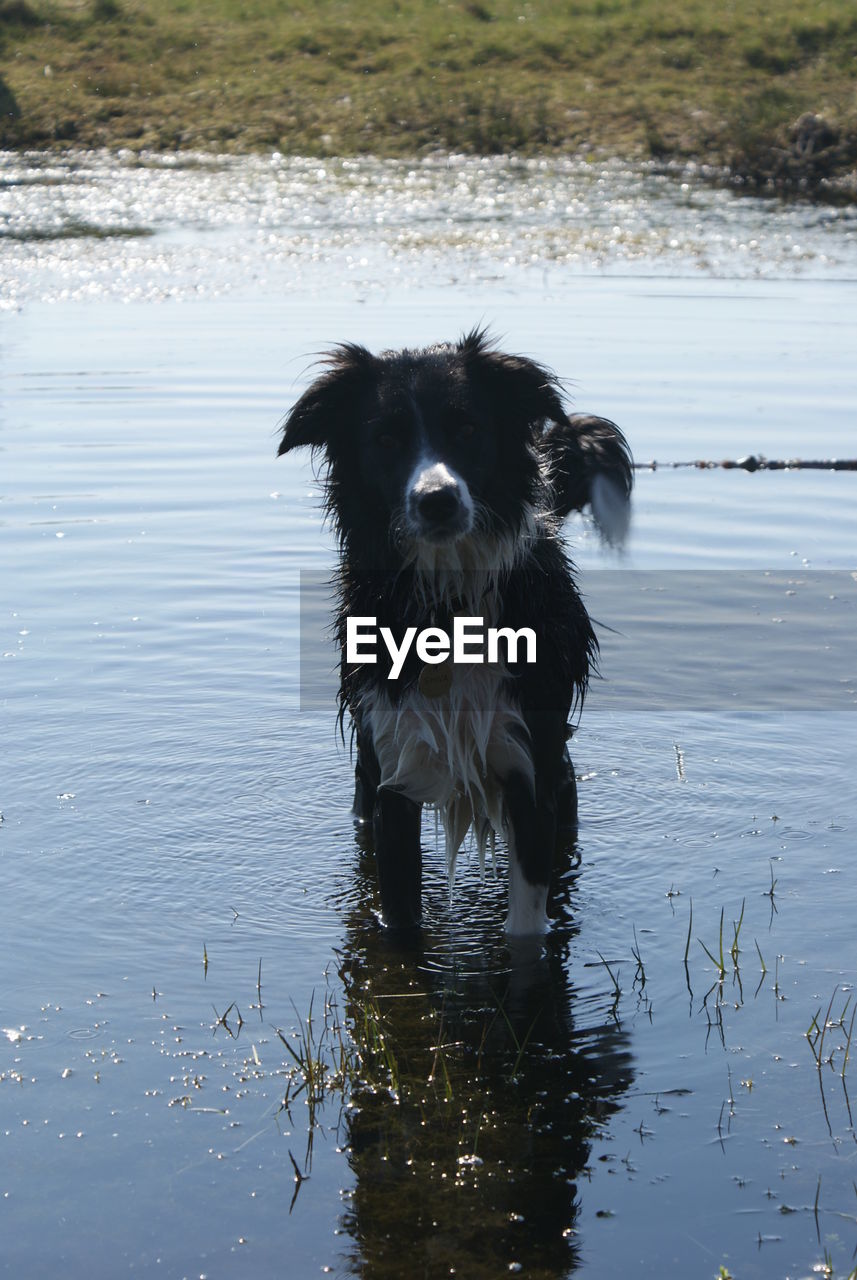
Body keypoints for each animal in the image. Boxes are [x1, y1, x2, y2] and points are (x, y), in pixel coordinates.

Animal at [280, 327, 631, 931]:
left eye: (467, 428)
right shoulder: (393, 772)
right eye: (386, 439)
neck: (450, 603)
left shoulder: (529, 770)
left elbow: (526, 932)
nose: (437, 500)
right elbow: (400, 923)